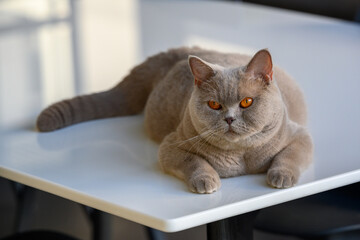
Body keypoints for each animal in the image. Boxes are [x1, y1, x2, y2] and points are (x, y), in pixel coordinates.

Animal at [36, 46, 312, 193]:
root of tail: (184, 51)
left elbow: (290, 156)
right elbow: (194, 161)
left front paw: (282, 177)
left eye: (246, 102)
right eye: (214, 105)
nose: (229, 119)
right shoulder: (172, 145)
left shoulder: (300, 136)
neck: (240, 156)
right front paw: (207, 181)